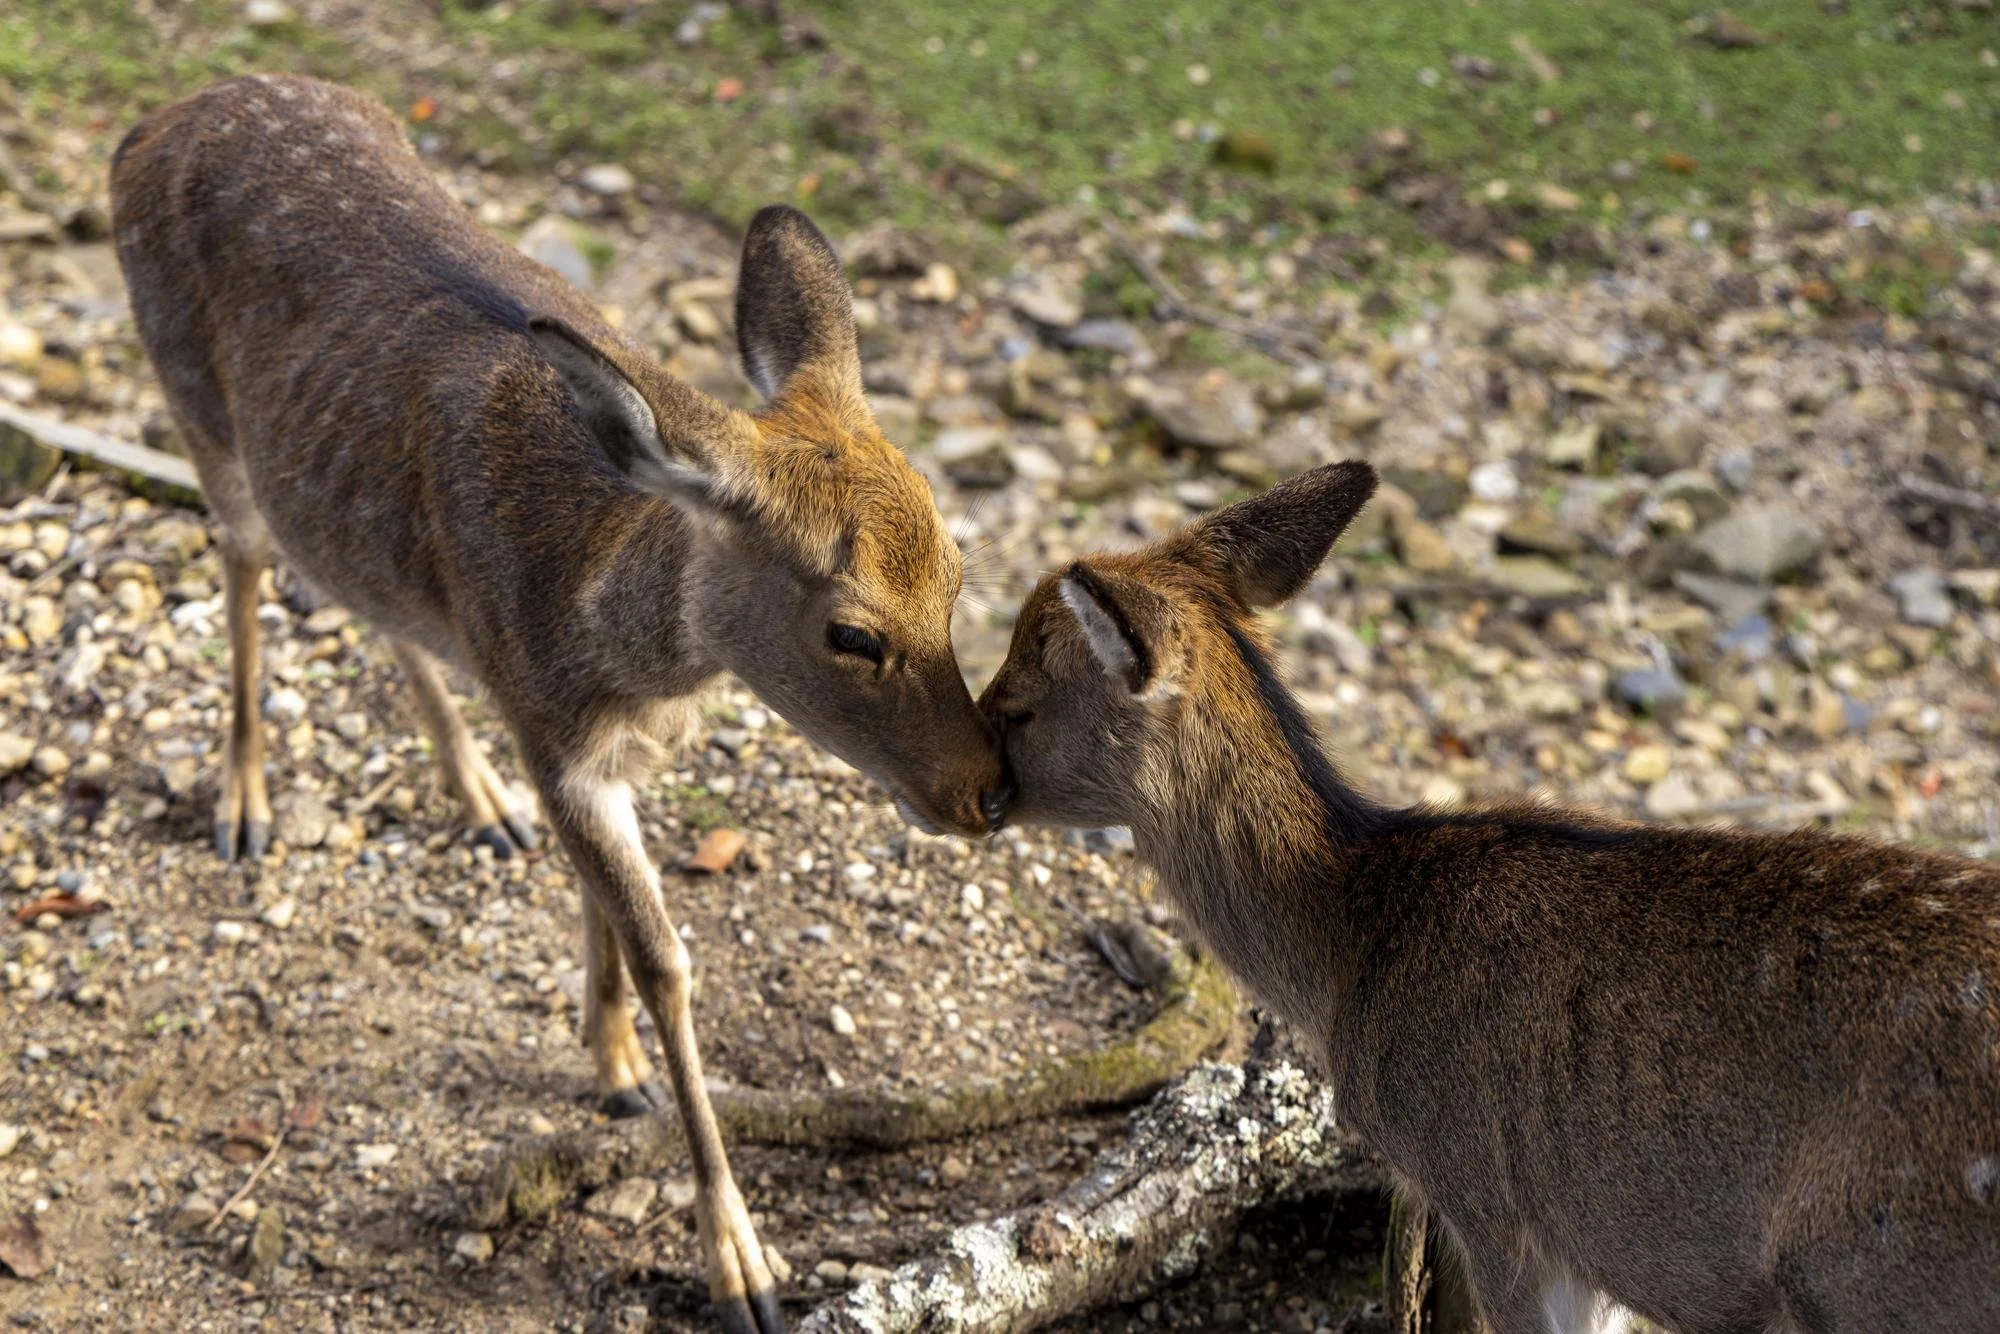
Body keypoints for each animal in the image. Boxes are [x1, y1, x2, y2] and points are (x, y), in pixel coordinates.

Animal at [111, 74, 1009, 1334]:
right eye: (851, 631)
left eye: (960, 573)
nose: (985, 790)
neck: (619, 653)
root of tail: (157, 118)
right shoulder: (556, 732)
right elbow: (667, 956)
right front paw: (741, 1262)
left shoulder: (587, 745)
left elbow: (608, 911)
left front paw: (611, 1062)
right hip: (187, 388)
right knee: (241, 554)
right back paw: (243, 801)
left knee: (359, 587)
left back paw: (478, 797)